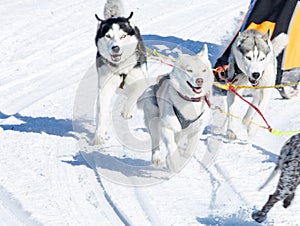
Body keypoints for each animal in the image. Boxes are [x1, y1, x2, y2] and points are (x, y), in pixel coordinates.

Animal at [92, 0, 146, 145]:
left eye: (123, 36)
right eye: (108, 36)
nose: (115, 48)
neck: (120, 68)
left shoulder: (140, 80)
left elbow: (135, 94)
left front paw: (127, 111)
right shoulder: (105, 87)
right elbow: (102, 111)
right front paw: (99, 136)